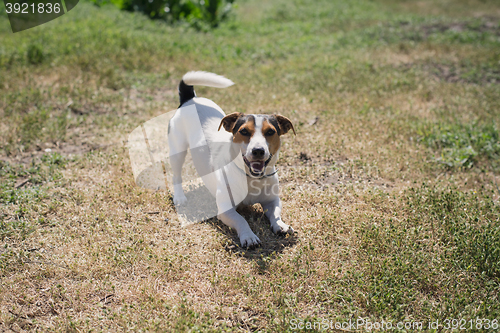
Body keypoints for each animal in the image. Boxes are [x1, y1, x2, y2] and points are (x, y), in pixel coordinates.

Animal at [168, 70, 294, 246]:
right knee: (176, 175)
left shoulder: (272, 200)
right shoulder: (226, 209)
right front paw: (248, 236)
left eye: (270, 132)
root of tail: (190, 98)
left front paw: (280, 225)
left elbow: (275, 213)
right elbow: (241, 220)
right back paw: (179, 197)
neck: (251, 178)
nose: (258, 150)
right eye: (244, 131)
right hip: (177, 150)